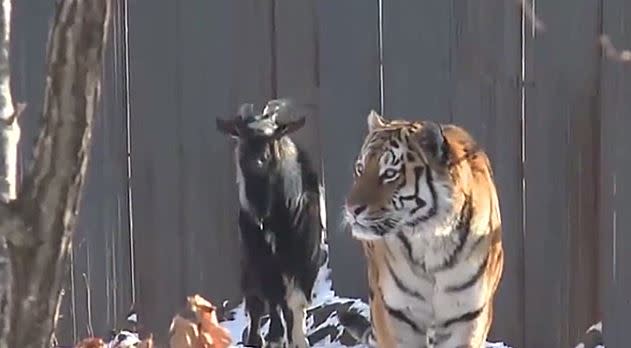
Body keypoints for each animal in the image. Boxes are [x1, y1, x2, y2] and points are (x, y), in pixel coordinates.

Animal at [217, 99, 326, 348]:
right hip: (249, 265)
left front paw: (299, 339)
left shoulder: (307, 259)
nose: (256, 161)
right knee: (257, 303)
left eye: (273, 136)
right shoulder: (263, 261)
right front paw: (276, 336)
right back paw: (257, 338)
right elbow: (274, 301)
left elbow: (296, 303)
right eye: (242, 134)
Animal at [338, 109, 506, 348]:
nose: (351, 209)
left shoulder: (468, 317)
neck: (430, 239)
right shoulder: (395, 314)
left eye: (389, 173)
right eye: (360, 169)